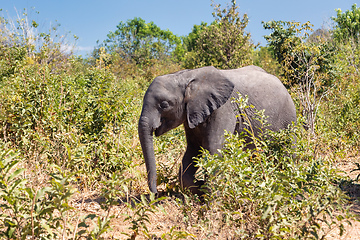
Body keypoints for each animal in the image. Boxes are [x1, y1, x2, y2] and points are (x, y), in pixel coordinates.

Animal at [138, 65, 296, 195]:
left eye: (164, 105)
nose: (156, 193)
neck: (187, 77)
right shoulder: (191, 113)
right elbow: (193, 150)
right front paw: (200, 186)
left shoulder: (224, 110)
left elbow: (214, 149)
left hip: (288, 118)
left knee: (288, 150)